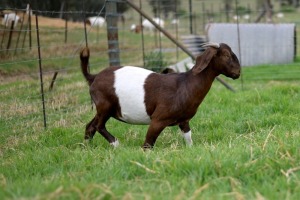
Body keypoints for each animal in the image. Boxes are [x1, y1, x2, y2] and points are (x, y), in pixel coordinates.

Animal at [79, 42, 241, 148]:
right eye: (226, 55)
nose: (238, 73)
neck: (185, 84)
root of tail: (93, 77)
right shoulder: (158, 119)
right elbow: (148, 144)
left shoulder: (184, 121)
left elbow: (188, 138)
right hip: (105, 105)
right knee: (99, 126)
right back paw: (116, 144)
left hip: (106, 109)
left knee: (90, 126)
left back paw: (86, 148)